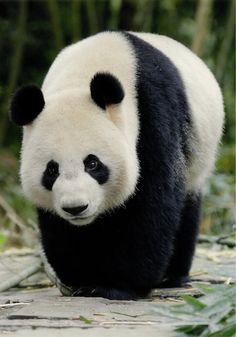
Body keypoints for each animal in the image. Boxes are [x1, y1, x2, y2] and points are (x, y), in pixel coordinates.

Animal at [9, 31, 223, 300]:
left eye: (92, 163)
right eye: (51, 170)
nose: (76, 208)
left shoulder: (153, 114)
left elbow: (152, 203)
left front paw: (119, 285)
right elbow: (60, 225)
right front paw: (83, 279)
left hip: (198, 157)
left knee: (186, 208)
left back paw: (172, 277)